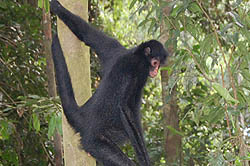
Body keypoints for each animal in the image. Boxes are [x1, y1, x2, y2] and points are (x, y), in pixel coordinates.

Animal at [50, 0, 168, 165]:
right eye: (155, 63)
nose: (155, 71)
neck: (135, 54)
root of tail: (83, 117)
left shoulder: (114, 48)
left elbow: (86, 33)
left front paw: (57, 8)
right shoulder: (137, 69)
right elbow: (125, 108)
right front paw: (144, 160)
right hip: (95, 141)